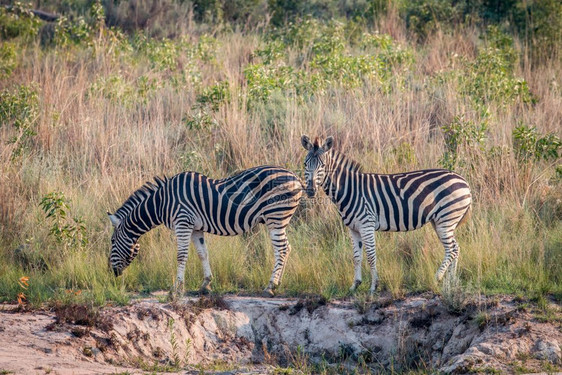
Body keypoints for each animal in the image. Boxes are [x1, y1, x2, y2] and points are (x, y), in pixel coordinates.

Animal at [107, 167, 304, 296]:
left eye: (112, 242)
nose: (111, 273)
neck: (161, 202)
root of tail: (295, 177)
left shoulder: (183, 222)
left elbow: (181, 256)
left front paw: (176, 288)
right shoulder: (196, 228)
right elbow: (203, 254)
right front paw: (205, 285)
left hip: (275, 217)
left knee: (282, 250)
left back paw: (270, 286)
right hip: (279, 220)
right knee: (287, 248)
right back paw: (278, 283)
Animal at [300, 136, 470, 296]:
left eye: (322, 166)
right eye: (305, 165)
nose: (310, 191)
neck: (350, 189)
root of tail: (464, 181)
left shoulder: (366, 225)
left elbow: (370, 256)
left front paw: (373, 287)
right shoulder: (353, 229)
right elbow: (356, 257)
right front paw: (355, 285)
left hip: (446, 219)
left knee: (452, 249)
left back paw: (438, 278)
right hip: (440, 221)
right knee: (456, 248)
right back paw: (450, 282)